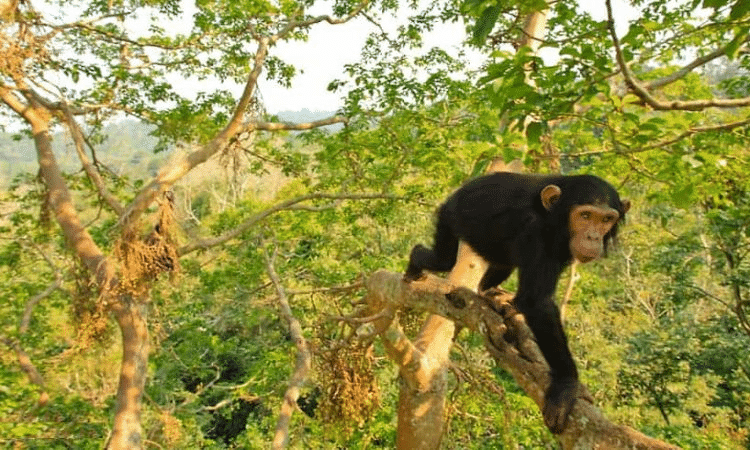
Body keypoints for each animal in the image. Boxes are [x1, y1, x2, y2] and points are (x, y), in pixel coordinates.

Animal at [402, 171, 632, 432]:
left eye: (606, 219)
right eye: (585, 216)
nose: (593, 236)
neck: (554, 220)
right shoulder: (534, 233)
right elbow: (537, 302)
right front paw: (566, 385)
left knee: (501, 264)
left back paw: (490, 293)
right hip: (449, 219)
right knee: (444, 258)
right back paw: (415, 262)